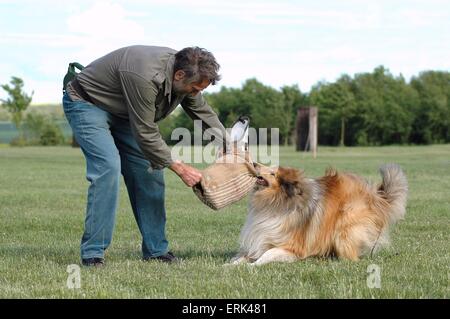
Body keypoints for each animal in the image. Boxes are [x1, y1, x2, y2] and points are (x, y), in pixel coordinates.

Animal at [229, 164, 408, 266]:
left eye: (273, 173)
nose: (253, 163)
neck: (277, 201)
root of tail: (375, 195)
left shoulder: (291, 247)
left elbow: (268, 254)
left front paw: (252, 266)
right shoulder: (262, 239)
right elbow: (243, 257)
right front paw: (230, 265)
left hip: (345, 228)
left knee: (351, 257)